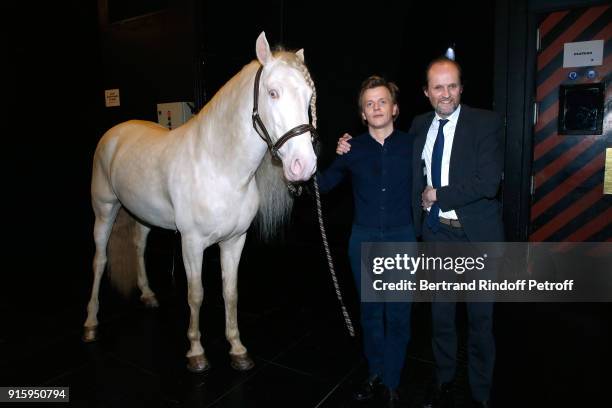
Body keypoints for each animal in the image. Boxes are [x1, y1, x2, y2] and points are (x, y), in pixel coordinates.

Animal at [83, 32, 318, 372]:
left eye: (308, 96)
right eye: (273, 93)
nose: (304, 165)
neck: (218, 166)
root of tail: (115, 133)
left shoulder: (235, 240)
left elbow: (230, 292)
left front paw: (237, 349)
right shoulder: (191, 243)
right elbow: (196, 294)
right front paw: (196, 352)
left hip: (142, 215)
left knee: (139, 246)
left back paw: (148, 295)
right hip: (104, 211)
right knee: (99, 261)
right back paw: (90, 323)